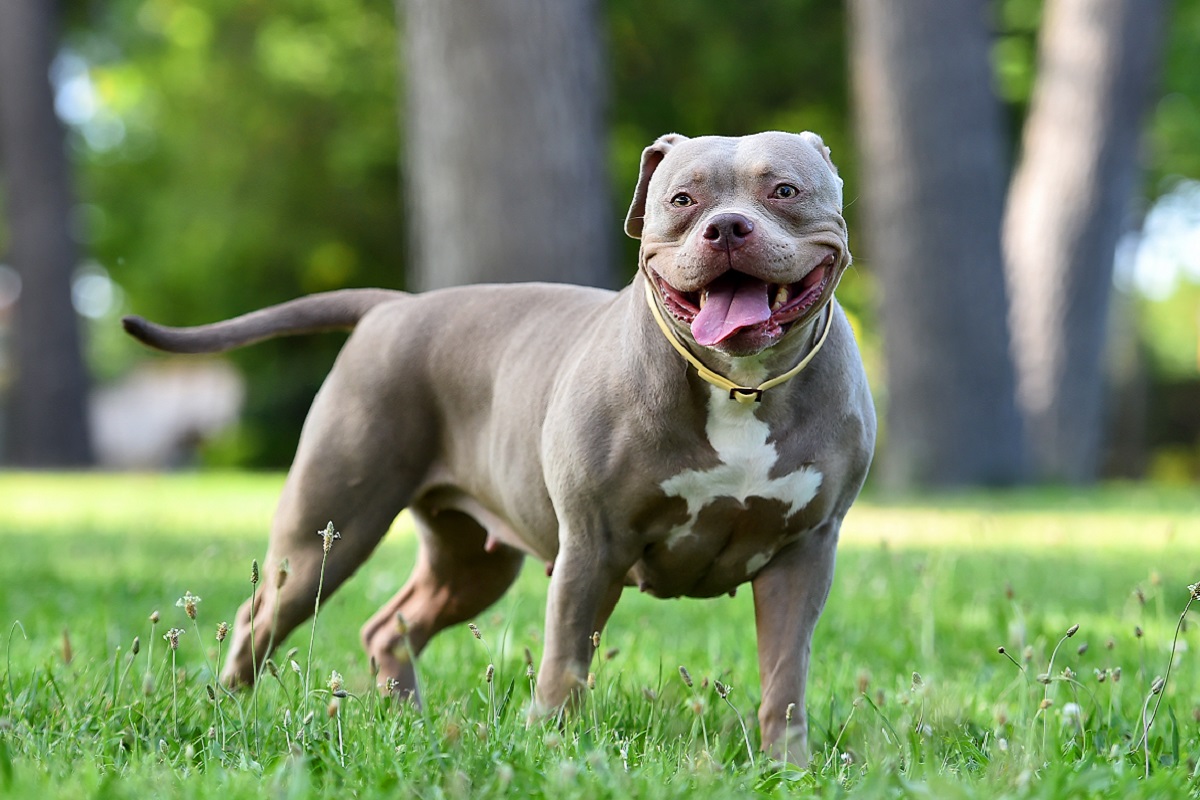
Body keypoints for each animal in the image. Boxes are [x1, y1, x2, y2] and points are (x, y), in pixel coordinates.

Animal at [124, 133, 873, 767]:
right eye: (683, 201)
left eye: (784, 190)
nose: (726, 228)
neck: (737, 384)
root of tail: (393, 306)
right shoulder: (591, 546)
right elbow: (565, 661)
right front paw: (554, 749)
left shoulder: (804, 553)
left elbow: (785, 676)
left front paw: (788, 767)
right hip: (325, 532)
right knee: (259, 618)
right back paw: (229, 712)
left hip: (468, 565)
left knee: (390, 627)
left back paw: (406, 719)